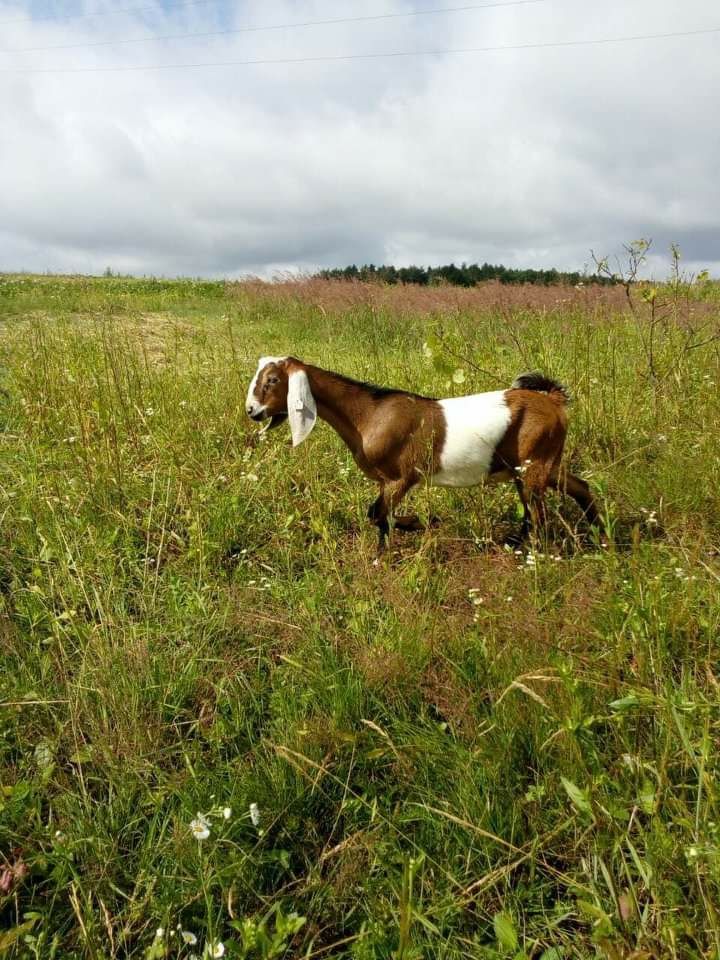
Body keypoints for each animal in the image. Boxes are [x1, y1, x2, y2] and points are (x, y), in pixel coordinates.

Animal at [248, 358, 600, 556]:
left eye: (272, 380)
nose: (252, 411)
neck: (368, 415)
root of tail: (553, 401)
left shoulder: (402, 476)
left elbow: (378, 514)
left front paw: (416, 527)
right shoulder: (386, 481)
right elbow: (377, 514)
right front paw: (394, 542)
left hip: (534, 464)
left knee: (538, 513)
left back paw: (532, 553)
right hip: (539, 464)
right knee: (576, 489)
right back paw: (596, 535)